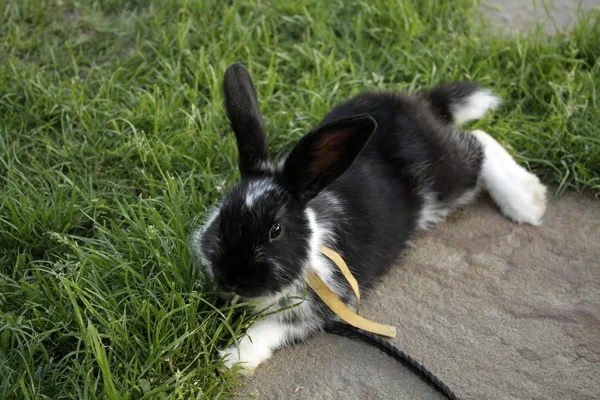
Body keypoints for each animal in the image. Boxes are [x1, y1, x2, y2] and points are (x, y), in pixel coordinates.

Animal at [191, 63, 544, 376]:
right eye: (223, 213)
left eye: (275, 230)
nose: (231, 277)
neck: (312, 242)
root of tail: (419, 105)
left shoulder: (320, 305)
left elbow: (267, 329)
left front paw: (233, 360)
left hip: (446, 181)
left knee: (480, 141)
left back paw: (527, 201)